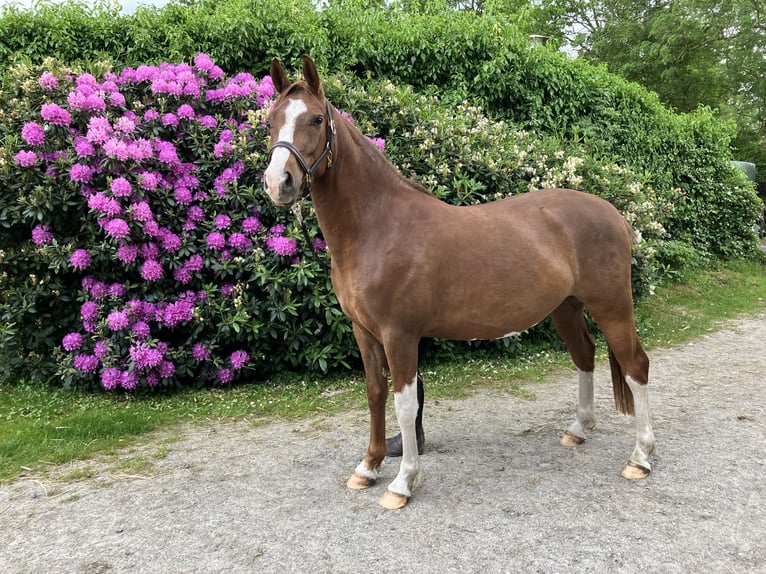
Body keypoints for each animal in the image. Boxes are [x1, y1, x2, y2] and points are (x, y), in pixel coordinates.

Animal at [262, 56, 656, 510]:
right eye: (271, 119)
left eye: (316, 119)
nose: (278, 183)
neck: (378, 226)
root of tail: (614, 214)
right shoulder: (364, 332)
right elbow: (375, 393)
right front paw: (368, 467)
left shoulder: (400, 335)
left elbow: (404, 404)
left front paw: (402, 483)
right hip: (567, 307)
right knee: (585, 356)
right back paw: (578, 429)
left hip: (612, 305)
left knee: (635, 365)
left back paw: (641, 457)